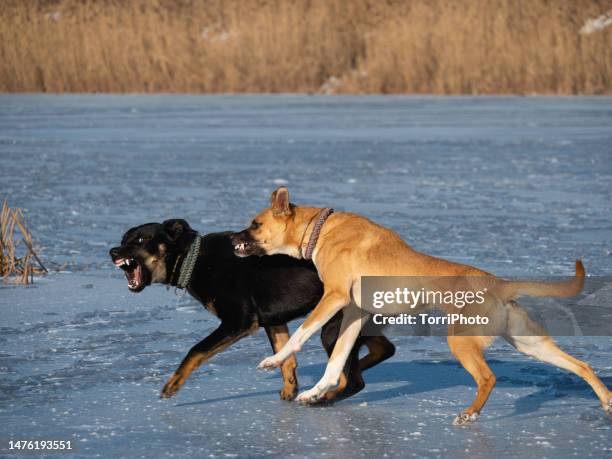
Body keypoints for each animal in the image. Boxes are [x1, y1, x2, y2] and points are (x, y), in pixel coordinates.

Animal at [109, 220, 396, 402]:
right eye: (122, 239)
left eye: (141, 239)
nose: (112, 251)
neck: (194, 259)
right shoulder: (273, 320)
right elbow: (286, 356)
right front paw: (289, 389)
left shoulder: (239, 321)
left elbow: (196, 350)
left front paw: (173, 384)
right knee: (384, 350)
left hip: (333, 328)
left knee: (355, 381)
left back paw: (322, 398)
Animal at [232, 189, 608, 426]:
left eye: (255, 224)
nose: (233, 240)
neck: (320, 230)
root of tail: (499, 284)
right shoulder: (354, 313)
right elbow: (337, 359)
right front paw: (316, 392)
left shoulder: (334, 297)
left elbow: (301, 334)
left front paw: (273, 361)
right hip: (529, 342)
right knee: (582, 366)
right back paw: (607, 401)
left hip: (462, 341)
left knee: (488, 378)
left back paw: (470, 414)